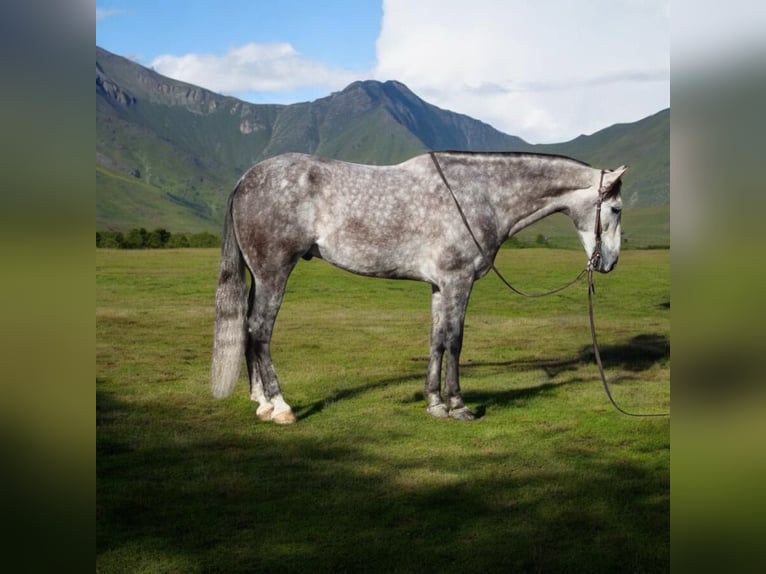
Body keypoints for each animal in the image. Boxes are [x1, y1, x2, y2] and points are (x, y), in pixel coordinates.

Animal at [212, 151, 627, 424]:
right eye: (617, 208)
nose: (609, 263)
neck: (481, 194)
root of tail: (245, 179)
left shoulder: (440, 286)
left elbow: (436, 339)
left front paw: (435, 403)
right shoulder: (458, 281)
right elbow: (455, 341)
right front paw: (459, 406)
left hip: (259, 276)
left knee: (248, 329)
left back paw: (261, 401)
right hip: (274, 273)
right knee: (260, 331)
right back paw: (280, 407)